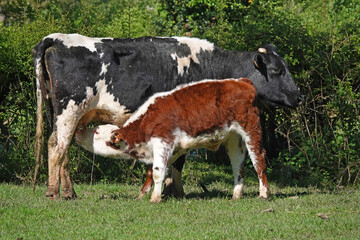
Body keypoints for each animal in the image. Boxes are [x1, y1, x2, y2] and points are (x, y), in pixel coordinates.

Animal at [104, 78, 270, 202]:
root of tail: (242, 81)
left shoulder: (164, 140)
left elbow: (158, 170)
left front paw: (155, 198)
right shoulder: (173, 149)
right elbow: (156, 171)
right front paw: (145, 194)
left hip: (251, 128)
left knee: (258, 158)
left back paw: (264, 193)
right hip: (234, 138)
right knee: (237, 164)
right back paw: (236, 194)